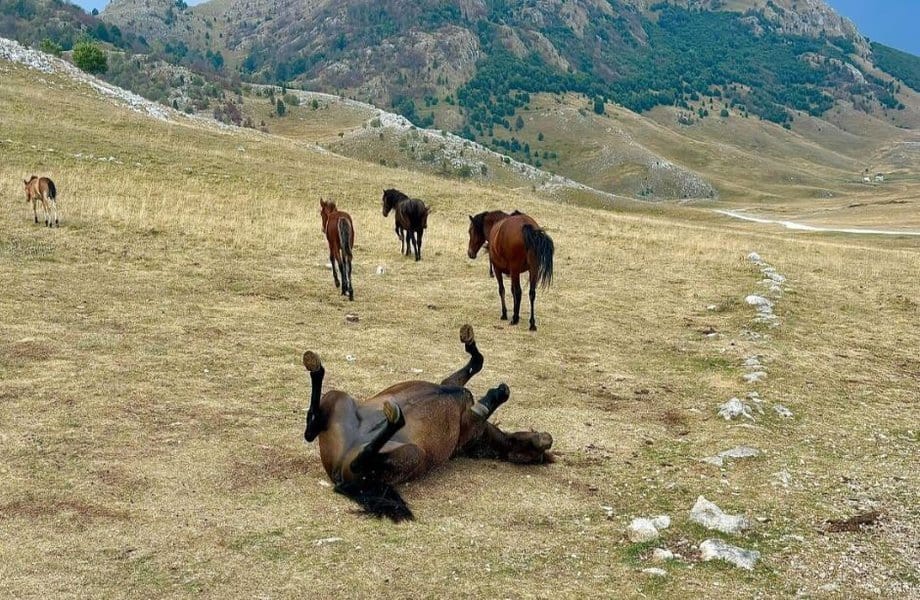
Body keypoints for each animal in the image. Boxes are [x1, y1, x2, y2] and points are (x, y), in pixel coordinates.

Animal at [304, 324, 552, 520]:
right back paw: (316, 367)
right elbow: (478, 362)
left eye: (535, 454)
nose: (547, 439)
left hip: (411, 454)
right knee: (311, 427)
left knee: (357, 458)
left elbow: (484, 398)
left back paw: (394, 419)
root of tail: (337, 474)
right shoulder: (450, 383)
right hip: (338, 397)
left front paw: (497, 392)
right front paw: (469, 340)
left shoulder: (469, 425)